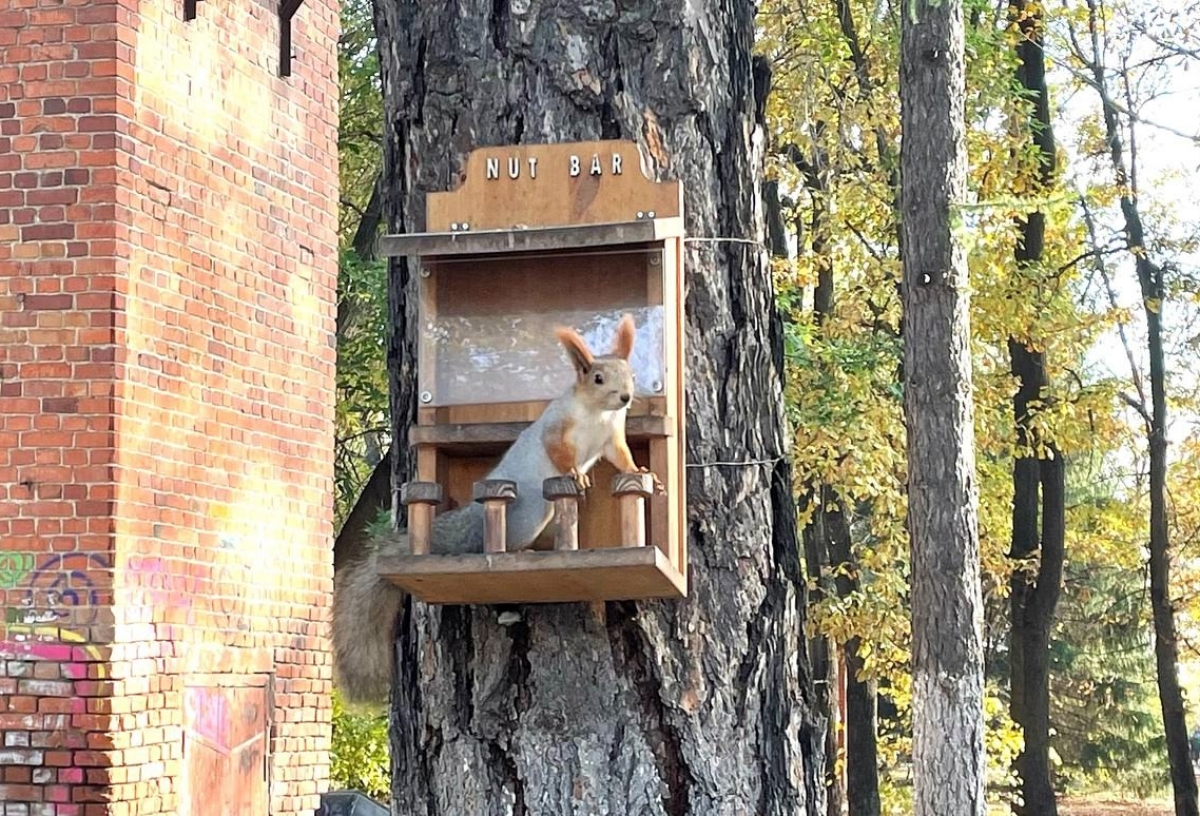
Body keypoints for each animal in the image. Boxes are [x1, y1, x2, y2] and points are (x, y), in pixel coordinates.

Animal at [333, 312, 662, 700]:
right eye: (597, 378)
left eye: (633, 375)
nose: (626, 397)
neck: (598, 414)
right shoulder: (557, 428)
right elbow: (558, 452)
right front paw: (574, 474)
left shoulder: (612, 439)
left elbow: (622, 459)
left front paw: (641, 472)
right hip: (531, 517)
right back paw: (526, 553)